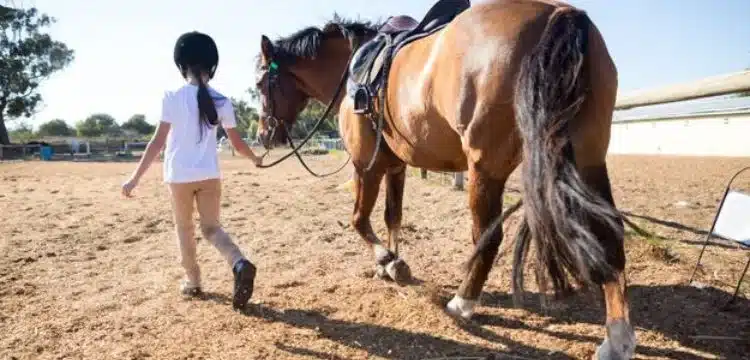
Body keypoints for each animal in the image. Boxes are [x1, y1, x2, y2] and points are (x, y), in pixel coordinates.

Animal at [253, 0, 636, 358]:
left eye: (259, 83)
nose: (263, 135)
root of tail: (560, 13)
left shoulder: (366, 166)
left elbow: (359, 220)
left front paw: (386, 261)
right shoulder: (396, 167)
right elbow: (393, 217)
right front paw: (393, 265)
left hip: (485, 168)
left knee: (488, 236)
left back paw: (462, 303)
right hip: (589, 158)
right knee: (609, 234)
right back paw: (618, 336)